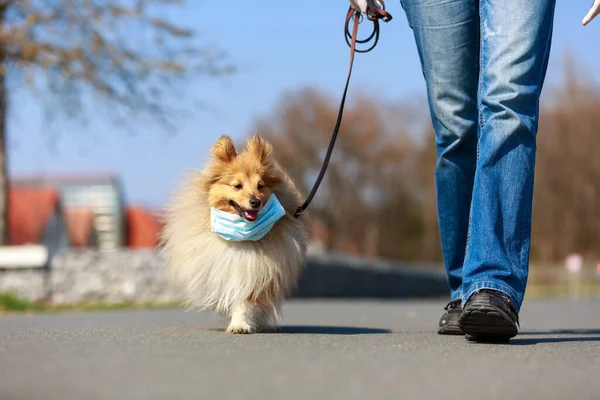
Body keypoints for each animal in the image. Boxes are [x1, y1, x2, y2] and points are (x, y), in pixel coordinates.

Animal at [159, 134, 310, 334]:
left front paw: (240, 324)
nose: (255, 202)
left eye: (260, 186)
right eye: (237, 186)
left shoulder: (256, 269)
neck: (242, 237)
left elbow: (245, 300)